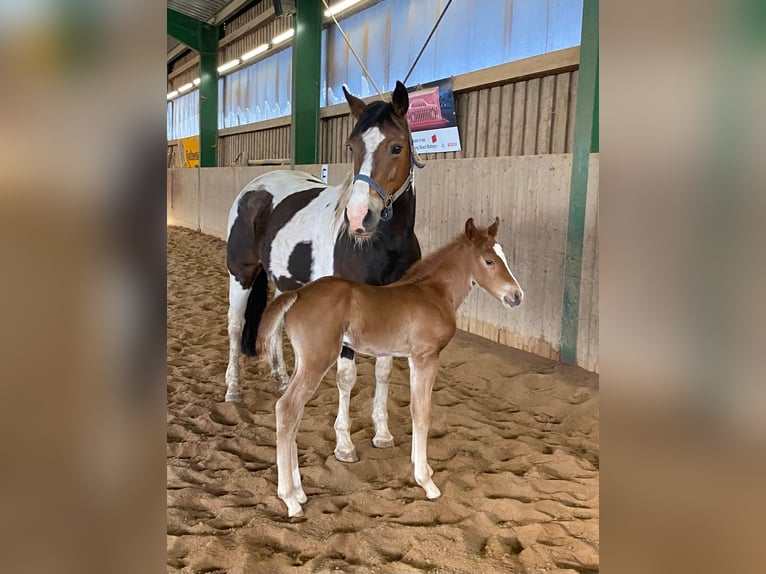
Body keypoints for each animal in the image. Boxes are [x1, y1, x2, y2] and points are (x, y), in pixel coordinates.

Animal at [224, 81, 423, 463]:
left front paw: (383, 434)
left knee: (273, 327)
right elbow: (347, 376)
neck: (383, 245)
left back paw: (282, 380)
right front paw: (344, 444)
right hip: (240, 274)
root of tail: (256, 186)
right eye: (352, 146)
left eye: (397, 147)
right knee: (236, 326)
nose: (359, 217)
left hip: (284, 284)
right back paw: (233, 390)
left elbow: (384, 371)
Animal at [256, 217, 524, 517]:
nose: (517, 296)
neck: (433, 293)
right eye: (489, 261)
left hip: (305, 363)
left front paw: (423, 467)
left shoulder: (411, 358)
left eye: (503, 257)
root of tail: (298, 294)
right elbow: (422, 413)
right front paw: (426, 481)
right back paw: (290, 498)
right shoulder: (425, 357)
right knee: (287, 408)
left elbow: (416, 409)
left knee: (294, 413)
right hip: (317, 361)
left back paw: (300, 492)